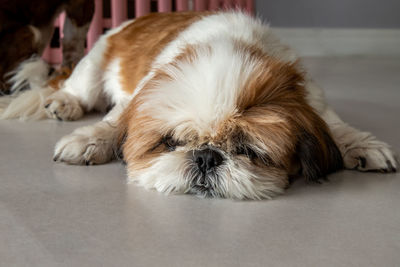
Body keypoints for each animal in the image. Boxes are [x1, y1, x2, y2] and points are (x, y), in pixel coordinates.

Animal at [2, 11, 396, 200]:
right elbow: (115, 119)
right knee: (80, 90)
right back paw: (63, 103)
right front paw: (90, 140)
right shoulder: (144, 91)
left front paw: (361, 145)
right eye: (172, 142)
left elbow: (336, 125)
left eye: (248, 150)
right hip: (96, 60)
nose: (206, 156)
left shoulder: (310, 97)